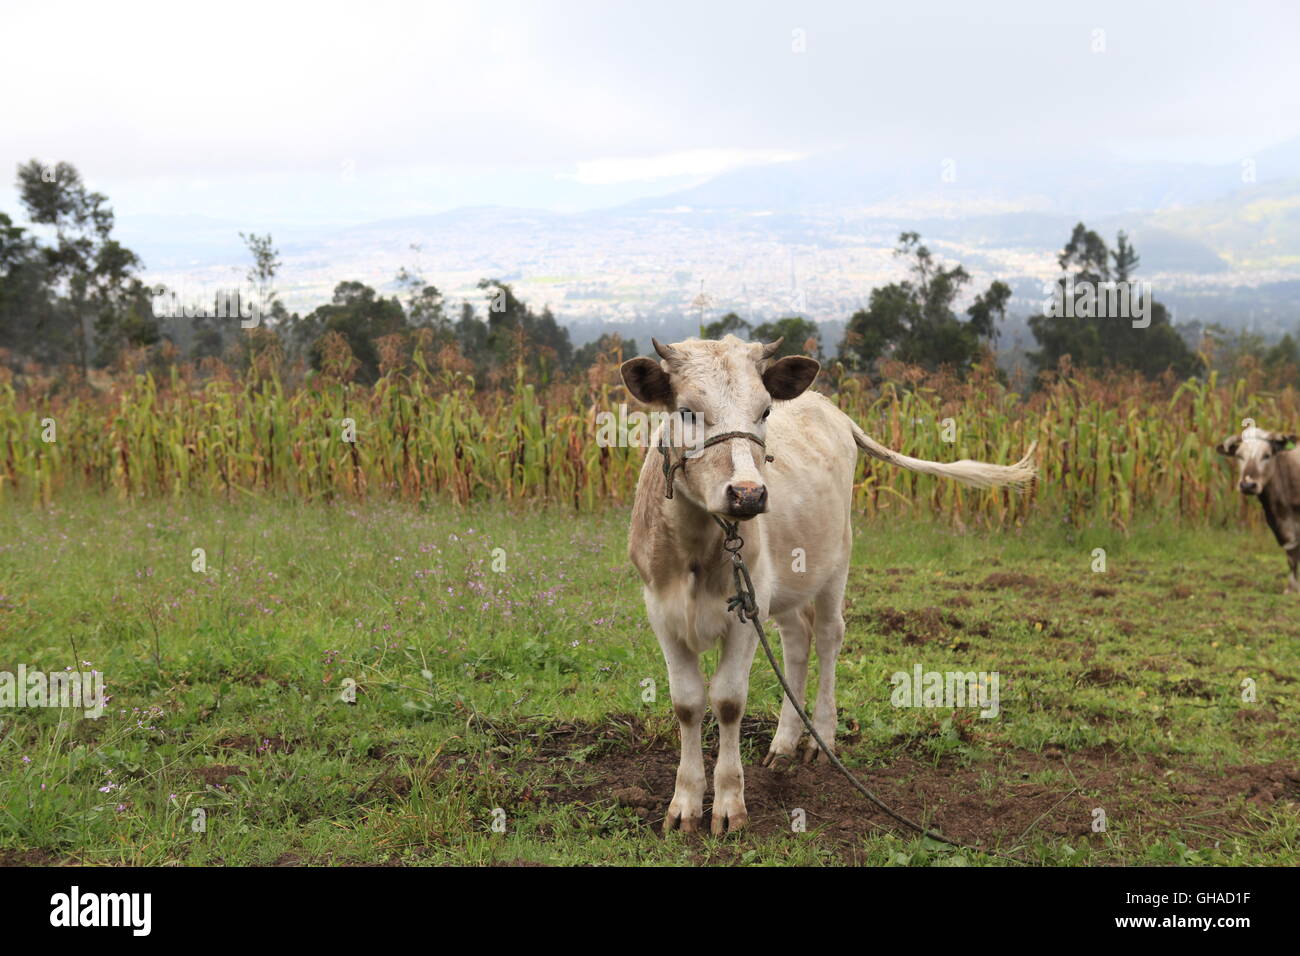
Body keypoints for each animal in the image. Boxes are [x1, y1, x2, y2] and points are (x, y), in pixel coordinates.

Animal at [618, 335, 1034, 832]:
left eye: (764, 411)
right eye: (687, 412)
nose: (748, 494)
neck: (697, 549)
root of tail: (828, 407)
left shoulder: (745, 612)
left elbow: (728, 701)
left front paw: (729, 803)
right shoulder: (662, 610)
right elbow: (686, 703)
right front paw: (684, 804)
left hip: (837, 561)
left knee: (829, 636)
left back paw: (822, 739)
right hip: (788, 584)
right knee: (797, 642)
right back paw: (783, 744)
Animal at [1216, 426, 1300, 590]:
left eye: (1266, 455)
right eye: (1239, 456)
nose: (1248, 485)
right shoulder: (1281, 526)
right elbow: (1292, 555)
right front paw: (1292, 587)